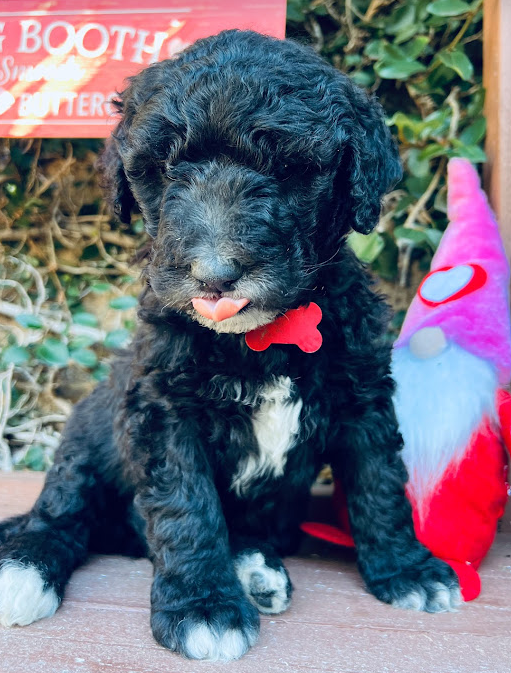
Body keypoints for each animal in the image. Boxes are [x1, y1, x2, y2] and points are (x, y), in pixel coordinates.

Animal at [0, 28, 460, 660]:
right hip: (87, 433)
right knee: (63, 514)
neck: (263, 337)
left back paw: (254, 568)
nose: (214, 275)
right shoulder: (162, 409)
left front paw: (407, 570)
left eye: (289, 168)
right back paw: (27, 566)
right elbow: (187, 507)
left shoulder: (363, 398)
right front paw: (203, 607)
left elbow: (380, 484)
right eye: (166, 168)